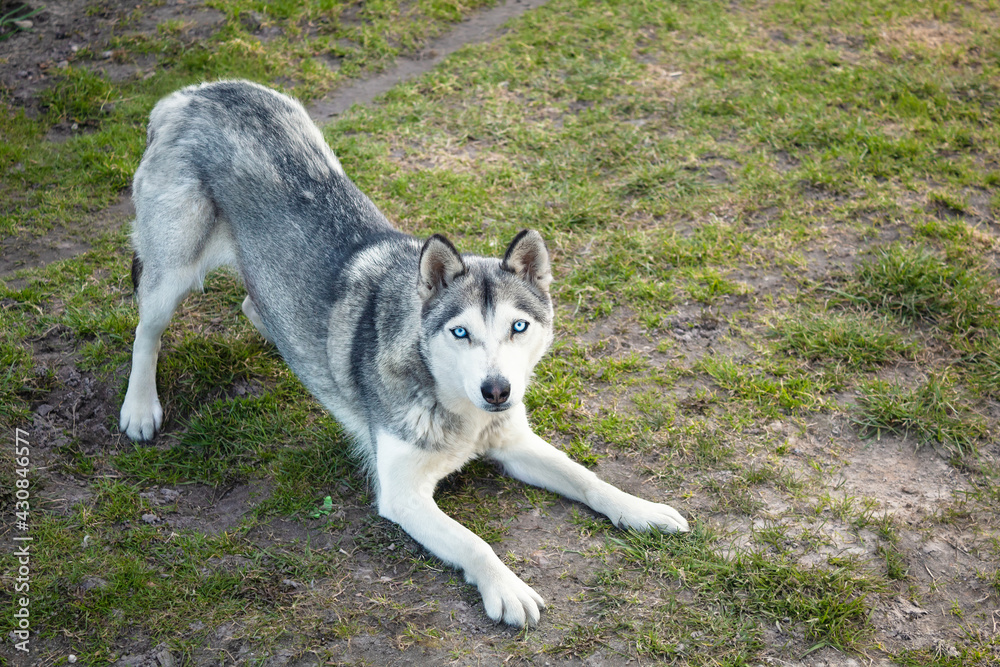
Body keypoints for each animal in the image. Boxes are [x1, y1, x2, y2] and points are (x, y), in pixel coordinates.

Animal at [119, 81, 688, 628]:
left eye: (518, 327)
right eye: (460, 333)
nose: (497, 390)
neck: (456, 406)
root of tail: (192, 93)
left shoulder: (514, 442)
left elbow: (588, 479)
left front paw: (640, 509)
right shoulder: (403, 493)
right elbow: (475, 543)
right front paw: (506, 589)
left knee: (251, 303)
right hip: (172, 271)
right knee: (146, 330)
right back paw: (140, 408)